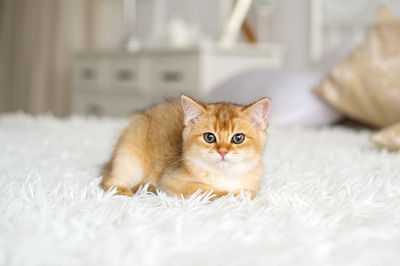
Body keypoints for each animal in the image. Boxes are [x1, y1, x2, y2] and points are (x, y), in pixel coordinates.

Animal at [100, 94, 270, 198]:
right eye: (209, 137)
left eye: (238, 138)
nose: (222, 152)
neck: (224, 175)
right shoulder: (172, 181)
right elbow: (209, 191)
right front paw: (237, 195)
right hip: (128, 157)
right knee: (107, 183)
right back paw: (125, 191)